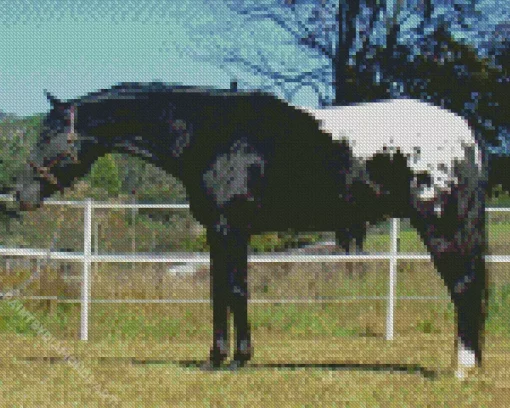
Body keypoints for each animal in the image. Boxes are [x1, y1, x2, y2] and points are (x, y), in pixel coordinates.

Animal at [6, 83, 486, 380]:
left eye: (52, 136)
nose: (19, 195)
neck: (208, 134)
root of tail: (465, 134)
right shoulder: (222, 234)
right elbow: (221, 290)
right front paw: (221, 358)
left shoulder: (229, 229)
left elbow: (233, 290)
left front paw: (233, 360)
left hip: (440, 225)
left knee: (463, 286)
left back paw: (461, 367)